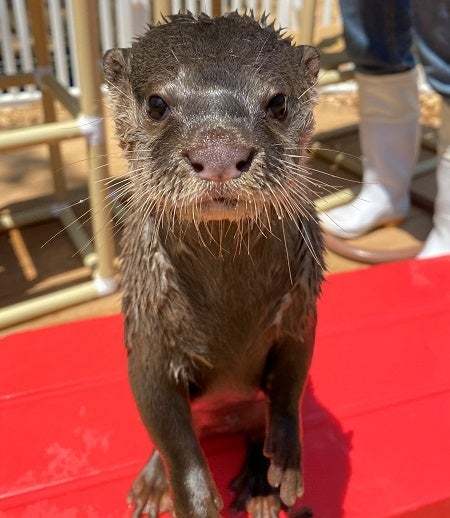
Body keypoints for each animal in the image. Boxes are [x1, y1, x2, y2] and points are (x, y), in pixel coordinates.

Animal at [104, 12, 326, 518]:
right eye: (157, 103)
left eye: (278, 102)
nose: (220, 153)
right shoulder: (150, 345)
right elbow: (175, 444)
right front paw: (194, 499)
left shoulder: (300, 314)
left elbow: (291, 386)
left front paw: (286, 461)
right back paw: (152, 485)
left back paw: (261, 489)